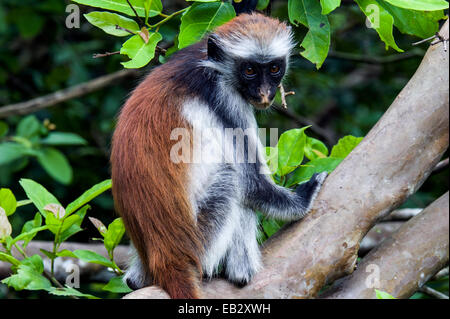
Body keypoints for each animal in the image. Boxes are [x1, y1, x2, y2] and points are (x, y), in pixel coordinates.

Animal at [110, 12, 326, 298]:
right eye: (249, 70)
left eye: (274, 68)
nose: (265, 93)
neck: (211, 66)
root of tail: (168, 258)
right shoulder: (225, 98)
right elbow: (253, 184)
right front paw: (305, 197)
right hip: (201, 243)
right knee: (233, 179)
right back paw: (241, 272)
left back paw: (137, 279)